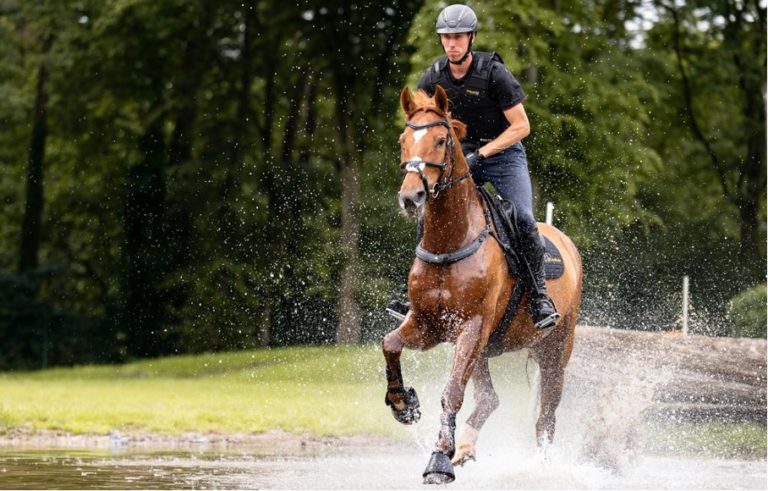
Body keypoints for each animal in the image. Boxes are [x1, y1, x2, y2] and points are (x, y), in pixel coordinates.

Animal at [382, 85, 583, 485]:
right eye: (402, 141)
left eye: (441, 140)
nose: (411, 197)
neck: (451, 240)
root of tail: (566, 242)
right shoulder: (429, 325)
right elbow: (390, 344)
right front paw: (404, 404)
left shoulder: (471, 327)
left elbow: (452, 392)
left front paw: (438, 460)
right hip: (487, 348)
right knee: (490, 398)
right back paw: (466, 447)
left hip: (555, 349)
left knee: (547, 414)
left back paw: (541, 466)